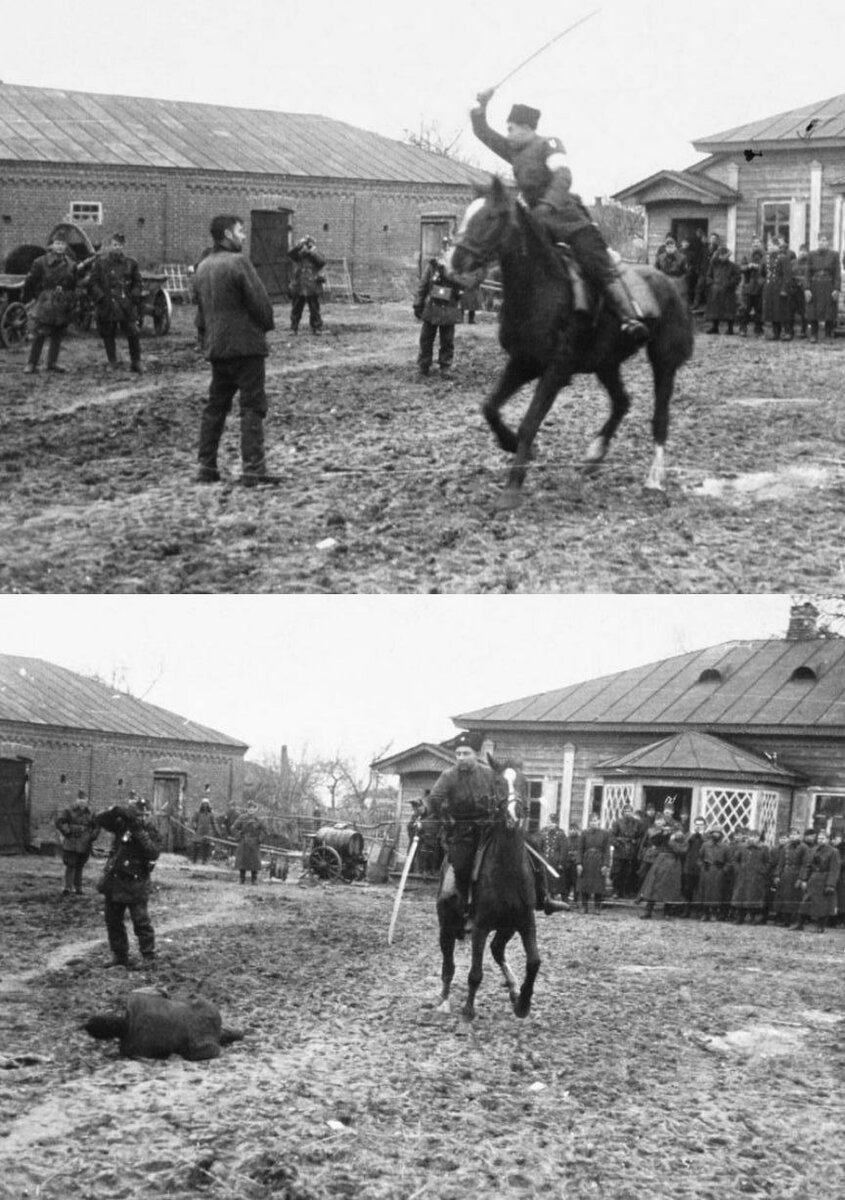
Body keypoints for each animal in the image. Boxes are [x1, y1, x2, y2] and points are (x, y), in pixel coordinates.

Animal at [439, 753, 537, 1017]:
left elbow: (534, 962)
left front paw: (523, 1003)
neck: (507, 871)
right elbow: (475, 973)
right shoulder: (480, 927)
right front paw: (468, 1009)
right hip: (447, 927)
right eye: (498, 784)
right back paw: (444, 1000)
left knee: (497, 949)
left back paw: (513, 989)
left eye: (526, 783)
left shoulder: (525, 922)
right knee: (448, 964)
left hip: (506, 927)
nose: (514, 817)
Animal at [448, 177, 691, 506]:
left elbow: (529, 423)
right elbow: (489, 407)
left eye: (491, 217)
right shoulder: (522, 363)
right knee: (622, 402)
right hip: (606, 364)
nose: (455, 261)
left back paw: (654, 478)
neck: (542, 290)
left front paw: (512, 486)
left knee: (660, 416)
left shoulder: (555, 372)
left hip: (664, 361)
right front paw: (512, 445)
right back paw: (595, 455)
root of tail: (670, 284)